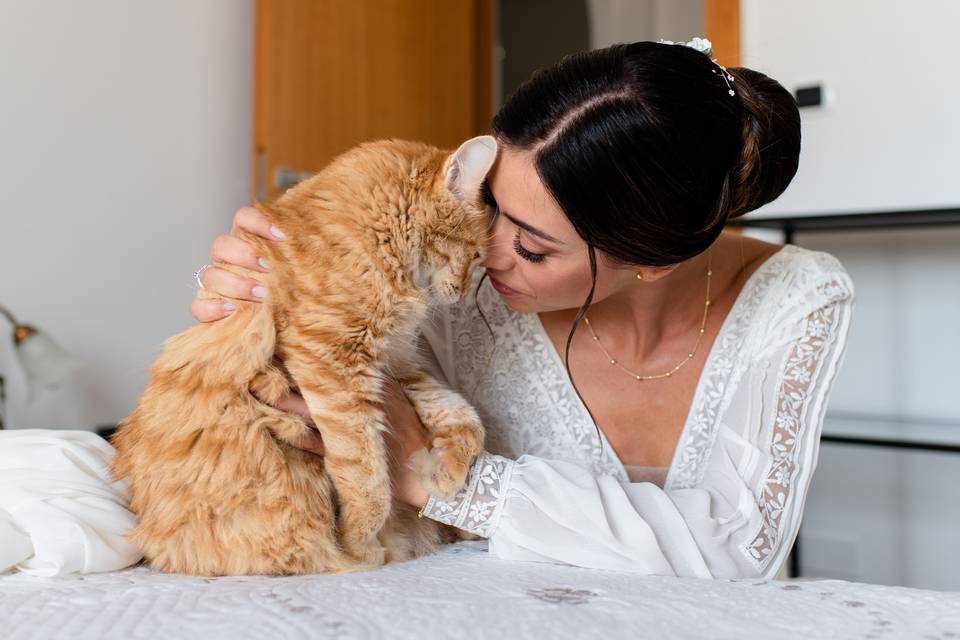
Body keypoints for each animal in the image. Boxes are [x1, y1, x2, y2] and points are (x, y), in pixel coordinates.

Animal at [113, 135, 498, 576]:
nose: (466, 294)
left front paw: (449, 467)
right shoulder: (336, 360)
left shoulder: (398, 363)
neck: (377, 239)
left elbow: (461, 413)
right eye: (476, 256)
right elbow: (366, 473)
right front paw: (360, 541)